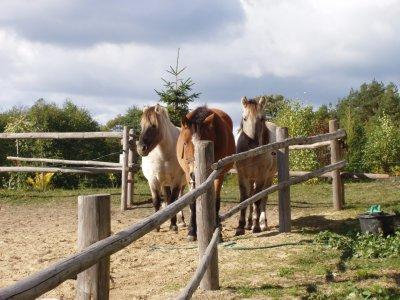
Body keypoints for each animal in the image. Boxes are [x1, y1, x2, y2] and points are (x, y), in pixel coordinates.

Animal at [177, 106, 236, 240]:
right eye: (185, 143)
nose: (194, 174)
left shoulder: (218, 175)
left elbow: (216, 201)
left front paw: (217, 231)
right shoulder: (189, 177)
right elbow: (192, 202)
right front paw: (191, 231)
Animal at [236, 97, 276, 236]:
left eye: (261, 119)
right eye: (244, 118)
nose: (253, 145)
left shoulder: (261, 177)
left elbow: (257, 201)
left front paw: (257, 226)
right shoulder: (242, 176)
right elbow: (244, 199)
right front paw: (240, 227)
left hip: (269, 177)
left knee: (263, 197)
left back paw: (262, 223)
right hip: (251, 178)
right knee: (251, 196)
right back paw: (249, 223)